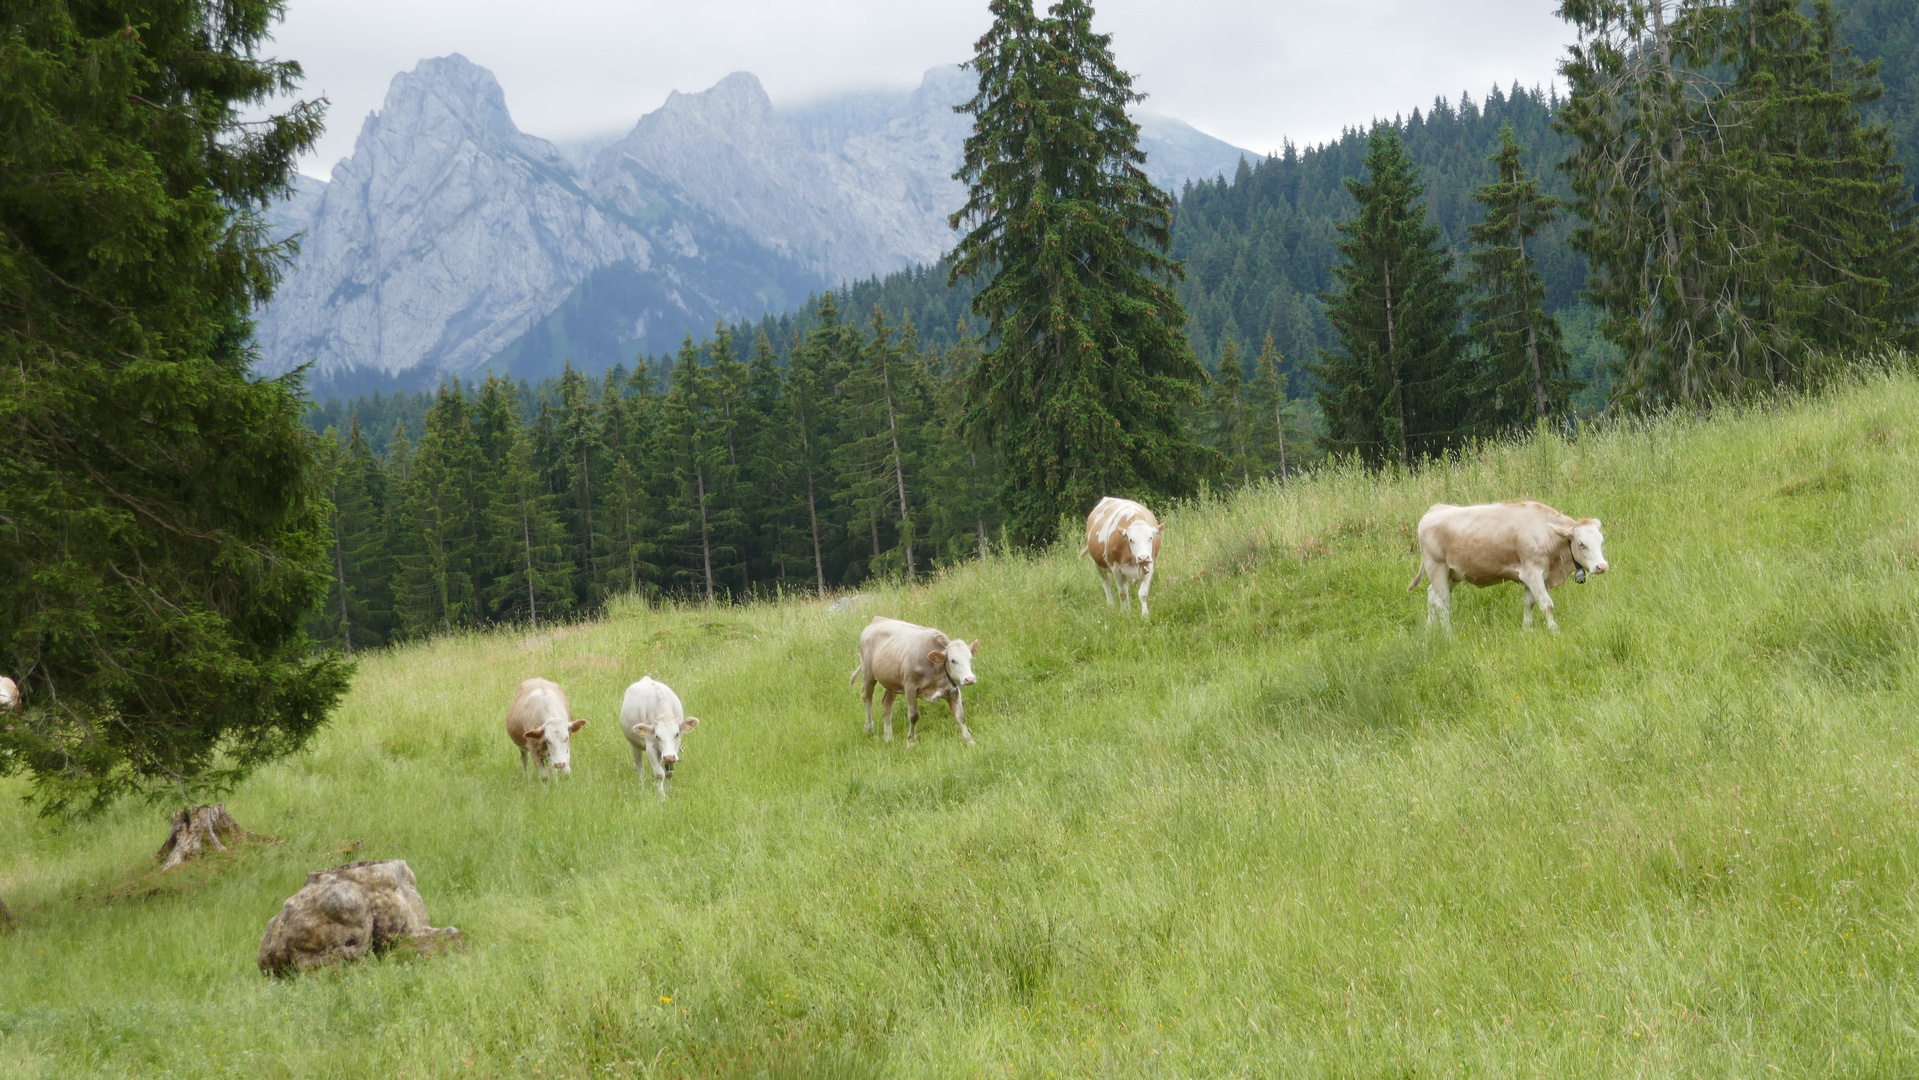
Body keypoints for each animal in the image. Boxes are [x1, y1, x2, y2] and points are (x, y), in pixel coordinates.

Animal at [848, 621, 982, 748]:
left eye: (970, 659)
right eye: (953, 660)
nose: (970, 679)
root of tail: (877, 620)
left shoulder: (953, 690)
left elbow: (960, 716)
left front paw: (970, 741)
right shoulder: (910, 687)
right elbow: (913, 716)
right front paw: (911, 742)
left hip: (891, 682)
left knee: (887, 704)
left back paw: (888, 737)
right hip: (868, 673)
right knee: (867, 697)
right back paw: (869, 728)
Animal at [1412, 502, 1604, 633]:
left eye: (1601, 541)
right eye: (1581, 544)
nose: (1602, 566)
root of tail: (1436, 508)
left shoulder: (1534, 577)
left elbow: (1529, 603)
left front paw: (1527, 629)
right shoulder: (1533, 573)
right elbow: (1546, 604)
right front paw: (1555, 630)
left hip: (1453, 573)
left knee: (1432, 595)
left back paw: (1430, 629)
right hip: (1436, 567)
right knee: (1442, 603)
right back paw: (1448, 634)